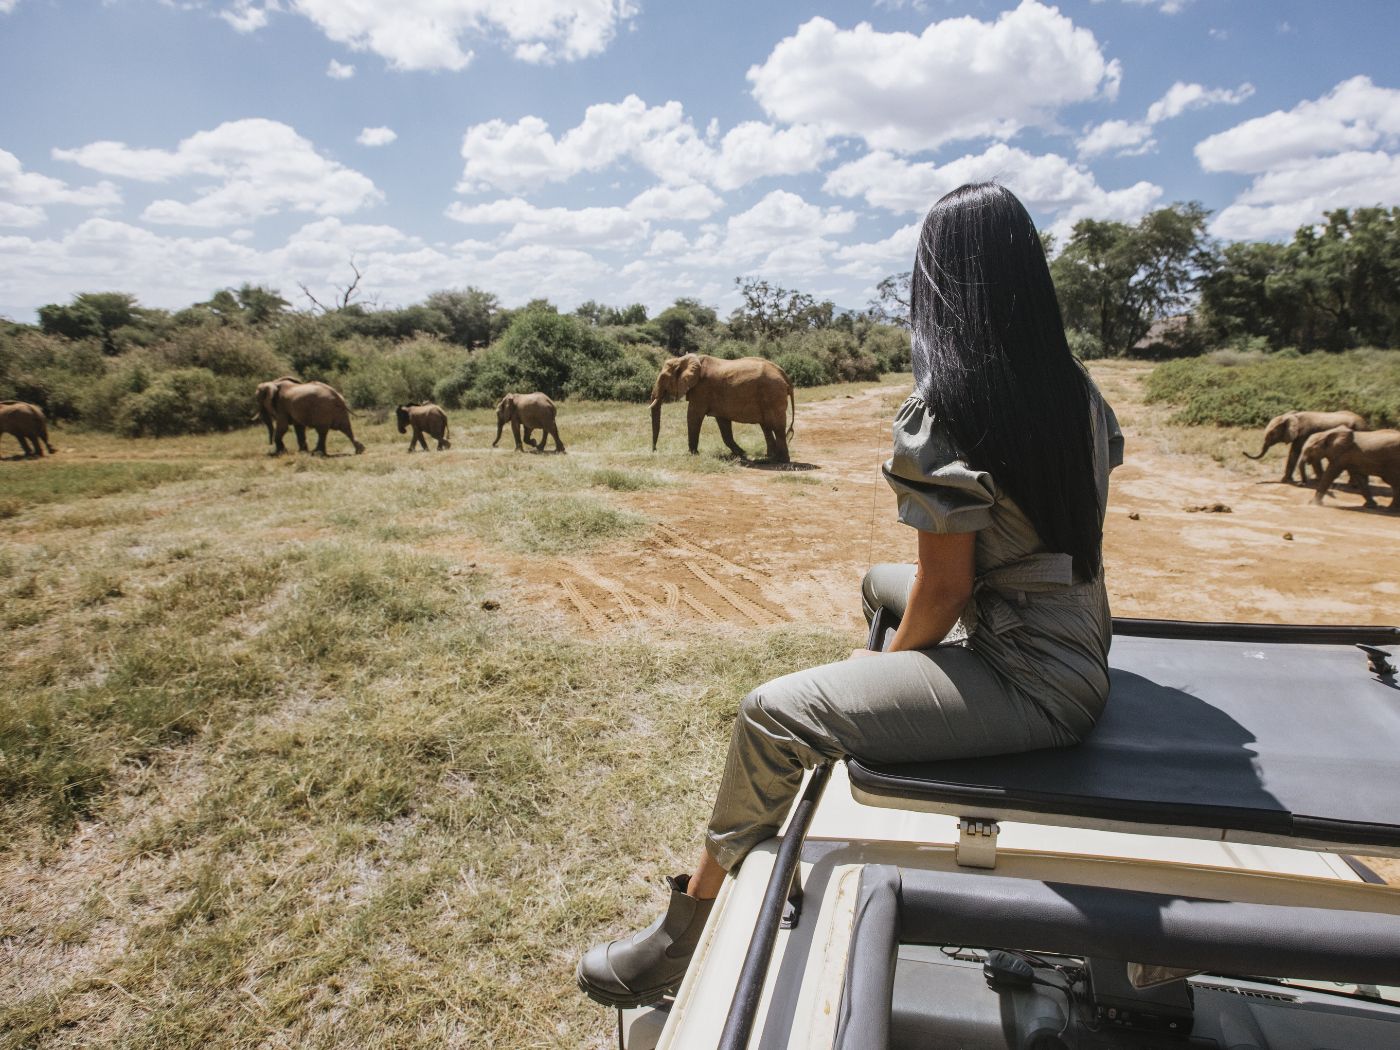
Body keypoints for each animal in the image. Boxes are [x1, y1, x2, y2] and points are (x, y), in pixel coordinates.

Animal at [649, 355, 795, 462]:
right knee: (766, 427)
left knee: (777, 427)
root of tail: (784, 375)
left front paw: (693, 454)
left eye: (663, 378)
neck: (683, 359)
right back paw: (769, 457)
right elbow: (724, 425)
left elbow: (693, 416)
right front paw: (743, 454)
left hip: (773, 394)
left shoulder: (701, 390)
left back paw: (780, 460)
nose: (655, 450)